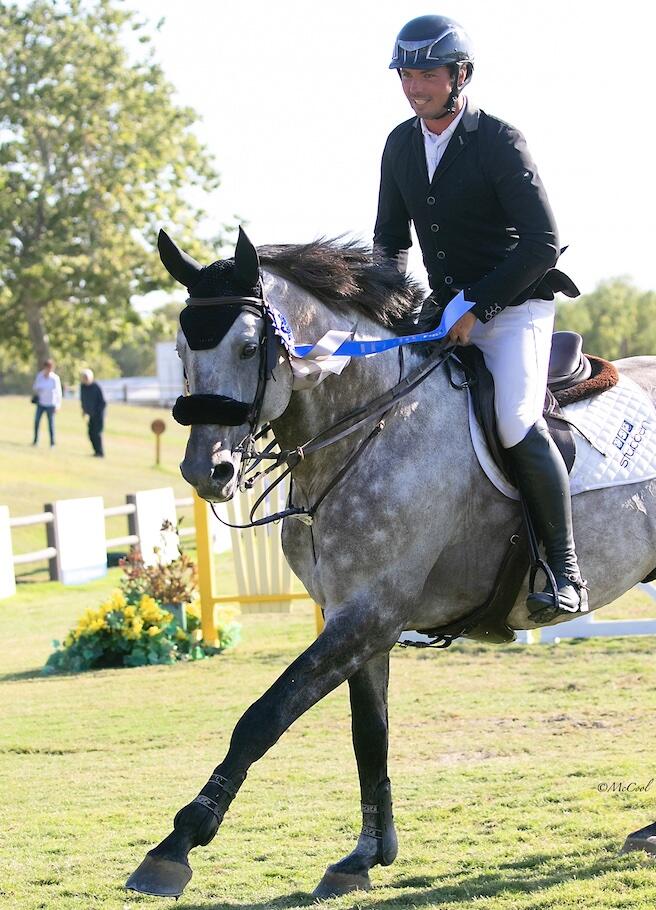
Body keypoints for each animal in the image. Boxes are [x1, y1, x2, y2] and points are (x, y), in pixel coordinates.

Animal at [127, 232, 656, 900]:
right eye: (179, 349)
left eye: (248, 347)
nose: (208, 471)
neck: (367, 423)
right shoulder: (358, 622)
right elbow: (367, 737)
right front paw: (364, 856)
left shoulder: (368, 617)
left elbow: (263, 717)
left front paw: (174, 847)